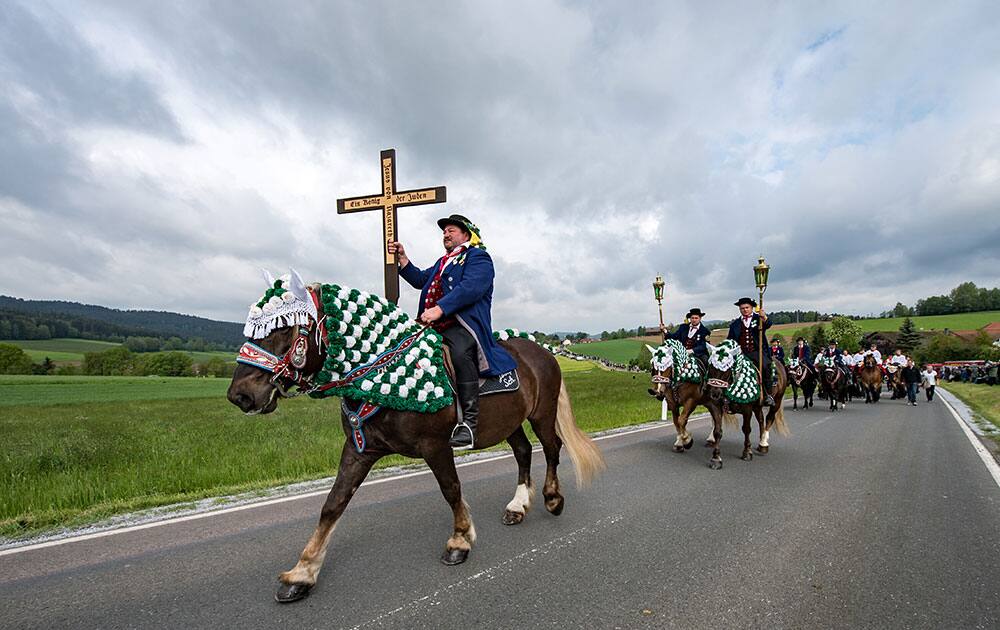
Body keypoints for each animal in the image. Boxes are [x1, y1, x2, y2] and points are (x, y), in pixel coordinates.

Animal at [229, 270, 600, 604]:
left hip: (542, 414)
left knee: (551, 449)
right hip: (510, 423)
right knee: (523, 452)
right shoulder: (359, 450)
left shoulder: (436, 446)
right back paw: (518, 506)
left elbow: (451, 489)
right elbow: (333, 504)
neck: (380, 374)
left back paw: (553, 498)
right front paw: (302, 573)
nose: (240, 396)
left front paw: (460, 541)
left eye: (283, 328)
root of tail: (541, 350)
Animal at [704, 340, 788, 470]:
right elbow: (717, 431)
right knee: (761, 419)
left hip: (777, 401)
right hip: (757, 406)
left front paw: (747, 452)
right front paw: (716, 458)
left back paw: (763, 443)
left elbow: (747, 429)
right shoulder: (717, 408)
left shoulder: (747, 409)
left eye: (727, 368)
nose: (714, 394)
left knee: (769, 419)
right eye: (711, 366)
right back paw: (761, 441)